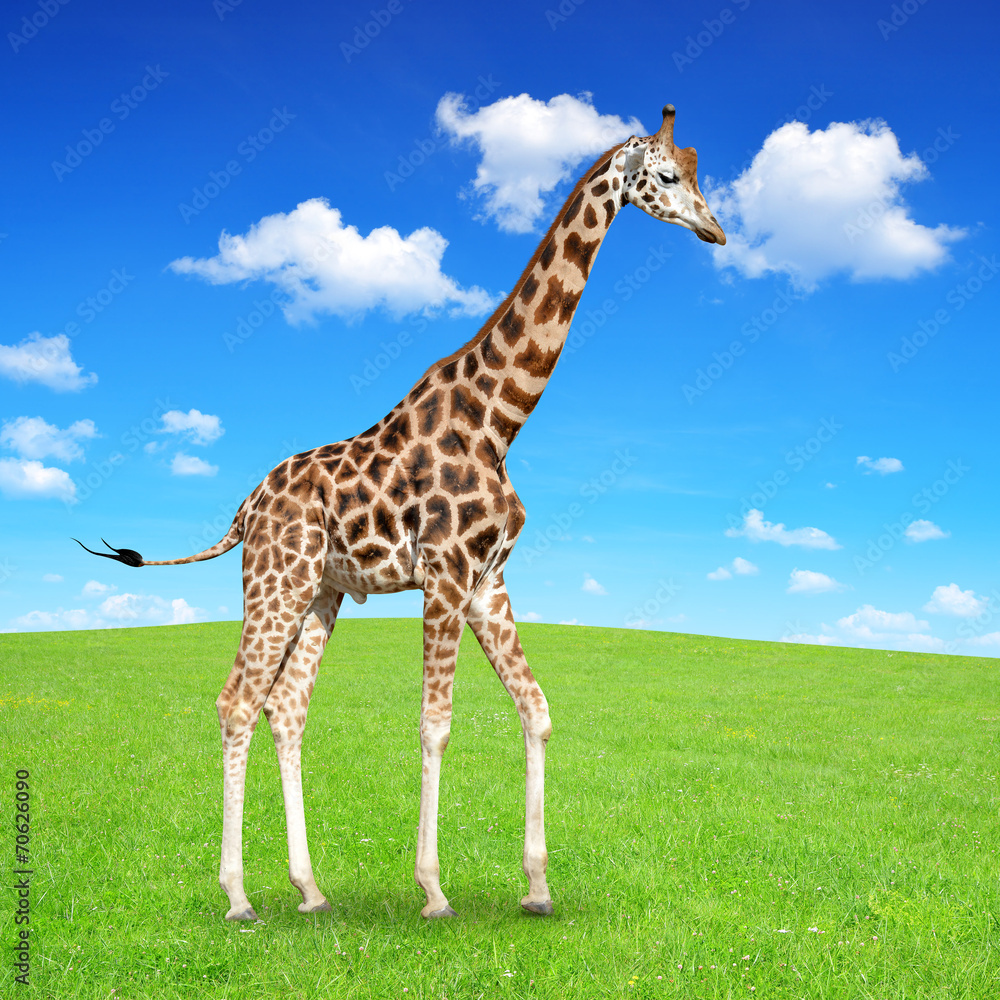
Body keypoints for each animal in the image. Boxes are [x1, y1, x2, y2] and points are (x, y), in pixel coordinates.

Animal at [76, 103, 725, 921]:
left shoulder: (487, 580)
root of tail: (246, 507)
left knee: (286, 706)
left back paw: (310, 890)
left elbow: (536, 709)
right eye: (667, 177)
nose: (716, 230)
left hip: (321, 592)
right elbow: (435, 725)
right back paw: (238, 896)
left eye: (699, 178)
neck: (500, 420)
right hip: (277, 581)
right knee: (237, 702)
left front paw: (538, 887)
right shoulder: (444, 575)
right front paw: (434, 889)